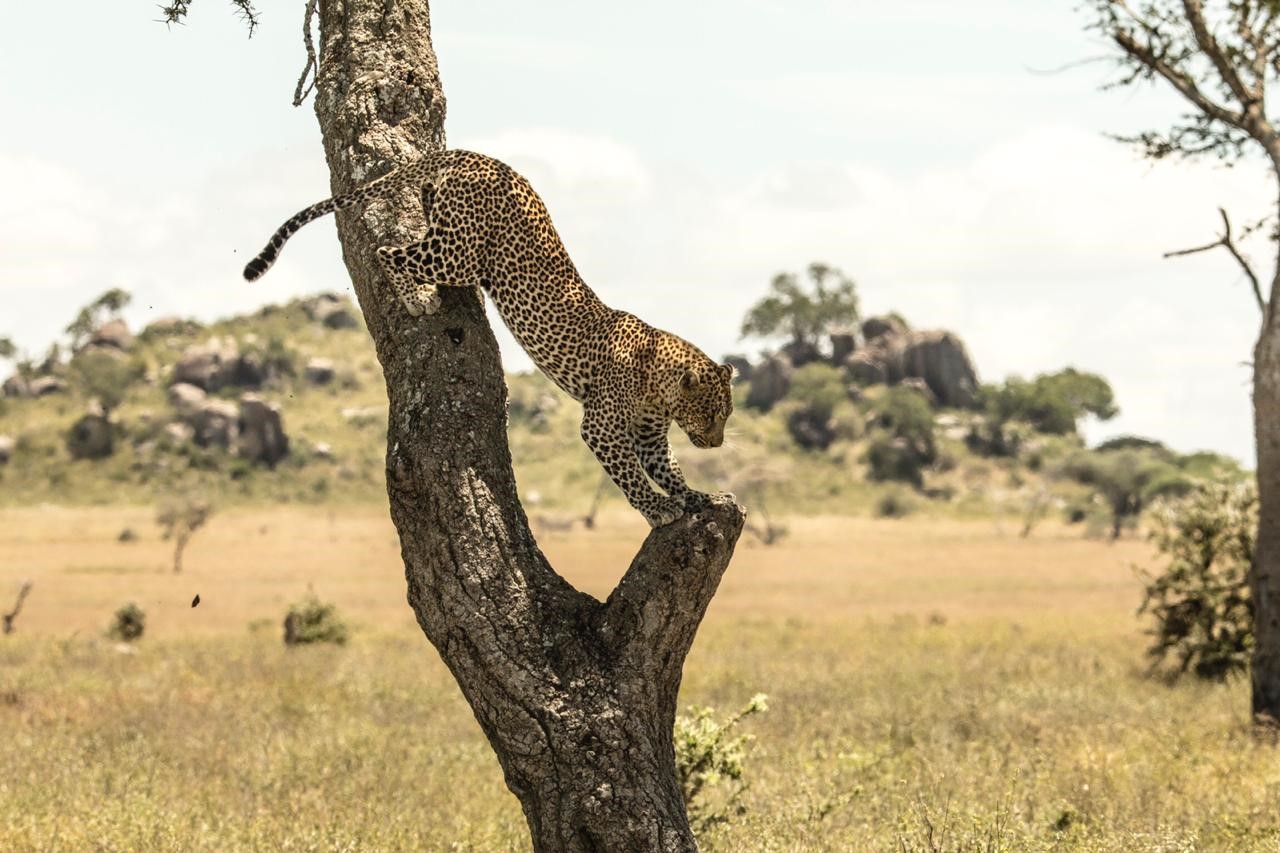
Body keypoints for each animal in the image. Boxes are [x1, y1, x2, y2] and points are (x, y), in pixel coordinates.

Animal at [243, 149, 737, 527]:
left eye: (725, 415)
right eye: (713, 413)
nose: (717, 444)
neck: (658, 380)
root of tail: (483, 158)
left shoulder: (650, 436)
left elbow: (668, 470)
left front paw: (697, 496)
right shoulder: (601, 426)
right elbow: (632, 475)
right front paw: (658, 509)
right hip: (458, 255)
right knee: (388, 252)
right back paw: (418, 297)